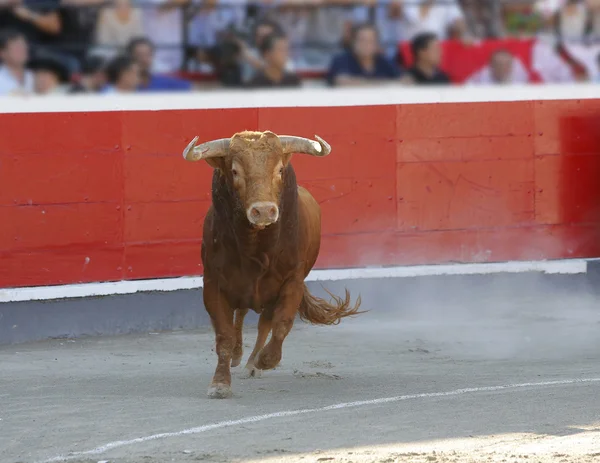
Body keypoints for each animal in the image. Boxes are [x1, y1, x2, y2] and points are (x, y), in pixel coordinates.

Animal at [182, 130, 360, 398]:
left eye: (279, 170)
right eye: (234, 171)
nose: (264, 211)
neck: (256, 247)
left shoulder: (292, 282)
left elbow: (281, 325)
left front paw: (265, 360)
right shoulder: (213, 284)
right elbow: (224, 335)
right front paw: (220, 383)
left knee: (264, 323)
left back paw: (253, 363)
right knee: (241, 316)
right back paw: (238, 356)